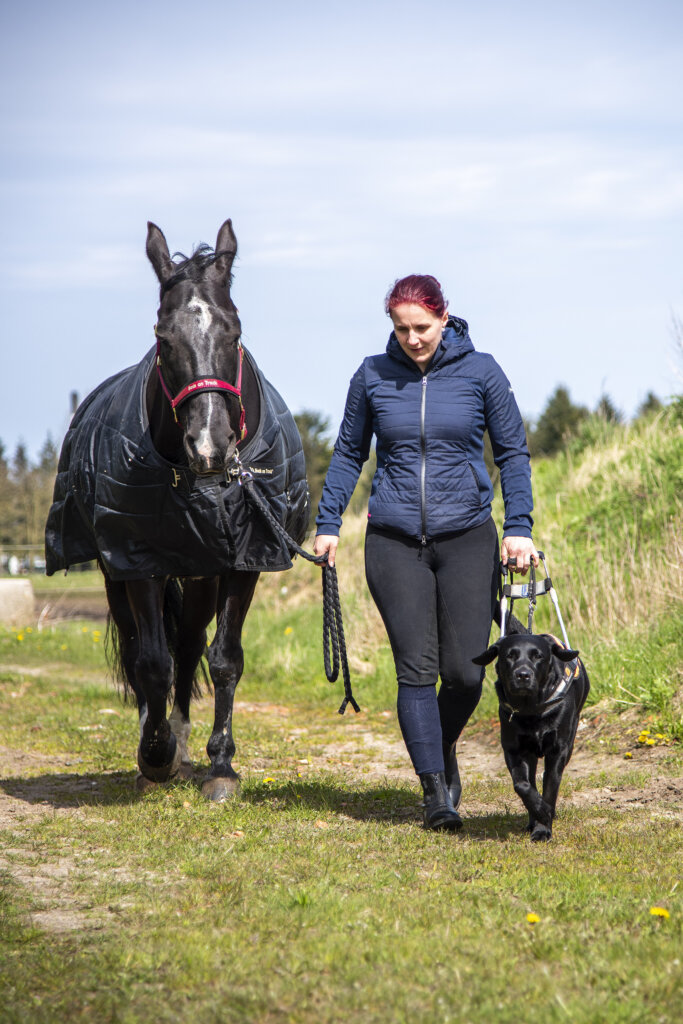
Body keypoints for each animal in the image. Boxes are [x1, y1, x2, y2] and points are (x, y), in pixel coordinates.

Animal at [48, 222, 313, 798]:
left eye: (234, 332)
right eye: (163, 337)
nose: (210, 446)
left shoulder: (244, 558)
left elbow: (225, 659)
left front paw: (221, 766)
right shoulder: (138, 558)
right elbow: (151, 662)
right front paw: (155, 756)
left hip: (200, 576)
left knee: (190, 646)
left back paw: (188, 745)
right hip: (116, 575)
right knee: (141, 650)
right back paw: (158, 744)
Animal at [473, 634, 589, 843]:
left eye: (538, 656)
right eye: (510, 655)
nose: (523, 675)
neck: (530, 709)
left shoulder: (558, 751)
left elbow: (550, 789)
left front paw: (544, 828)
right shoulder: (514, 750)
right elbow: (523, 785)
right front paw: (540, 813)